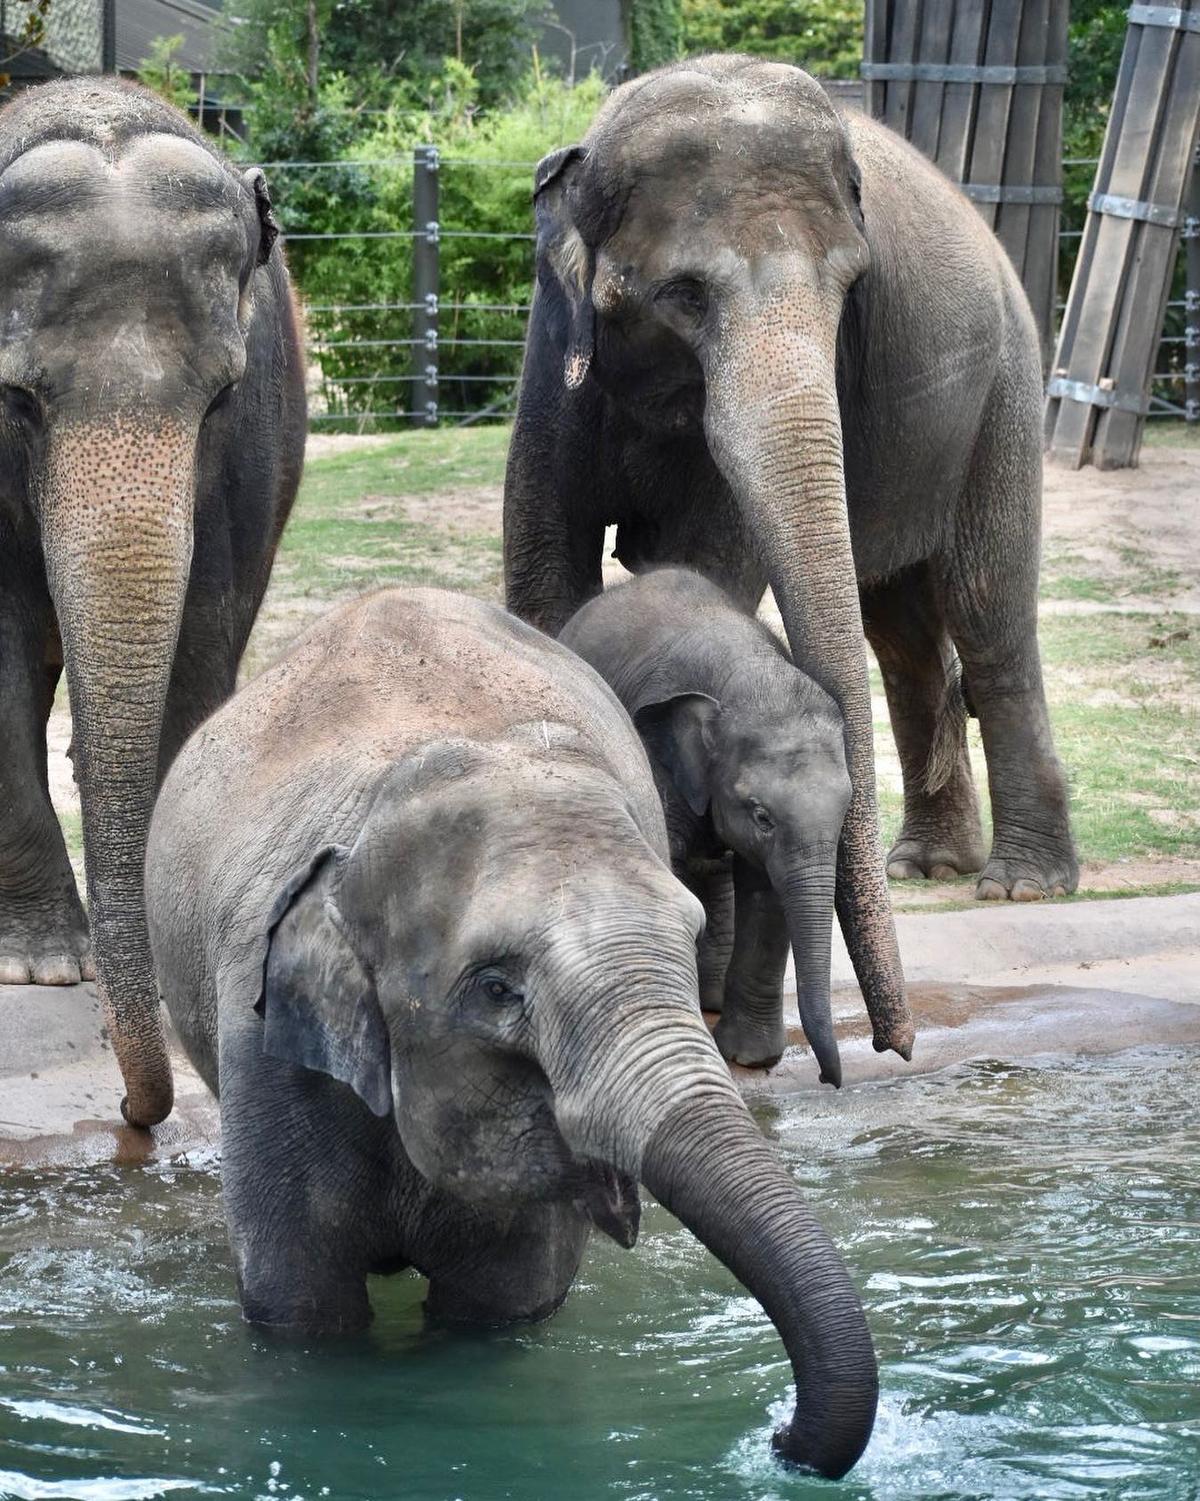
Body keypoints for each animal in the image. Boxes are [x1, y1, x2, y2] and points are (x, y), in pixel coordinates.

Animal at [0, 76, 304, 1122]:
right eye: (16, 400)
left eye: (218, 398)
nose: (139, 1113)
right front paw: (43, 965)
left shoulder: (253, 449)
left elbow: (204, 640)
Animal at [564, 570, 853, 1080]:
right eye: (762, 816)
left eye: (846, 808)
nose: (826, 1078)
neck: (746, 672)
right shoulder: (655, 754)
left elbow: (766, 888)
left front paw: (749, 1057)